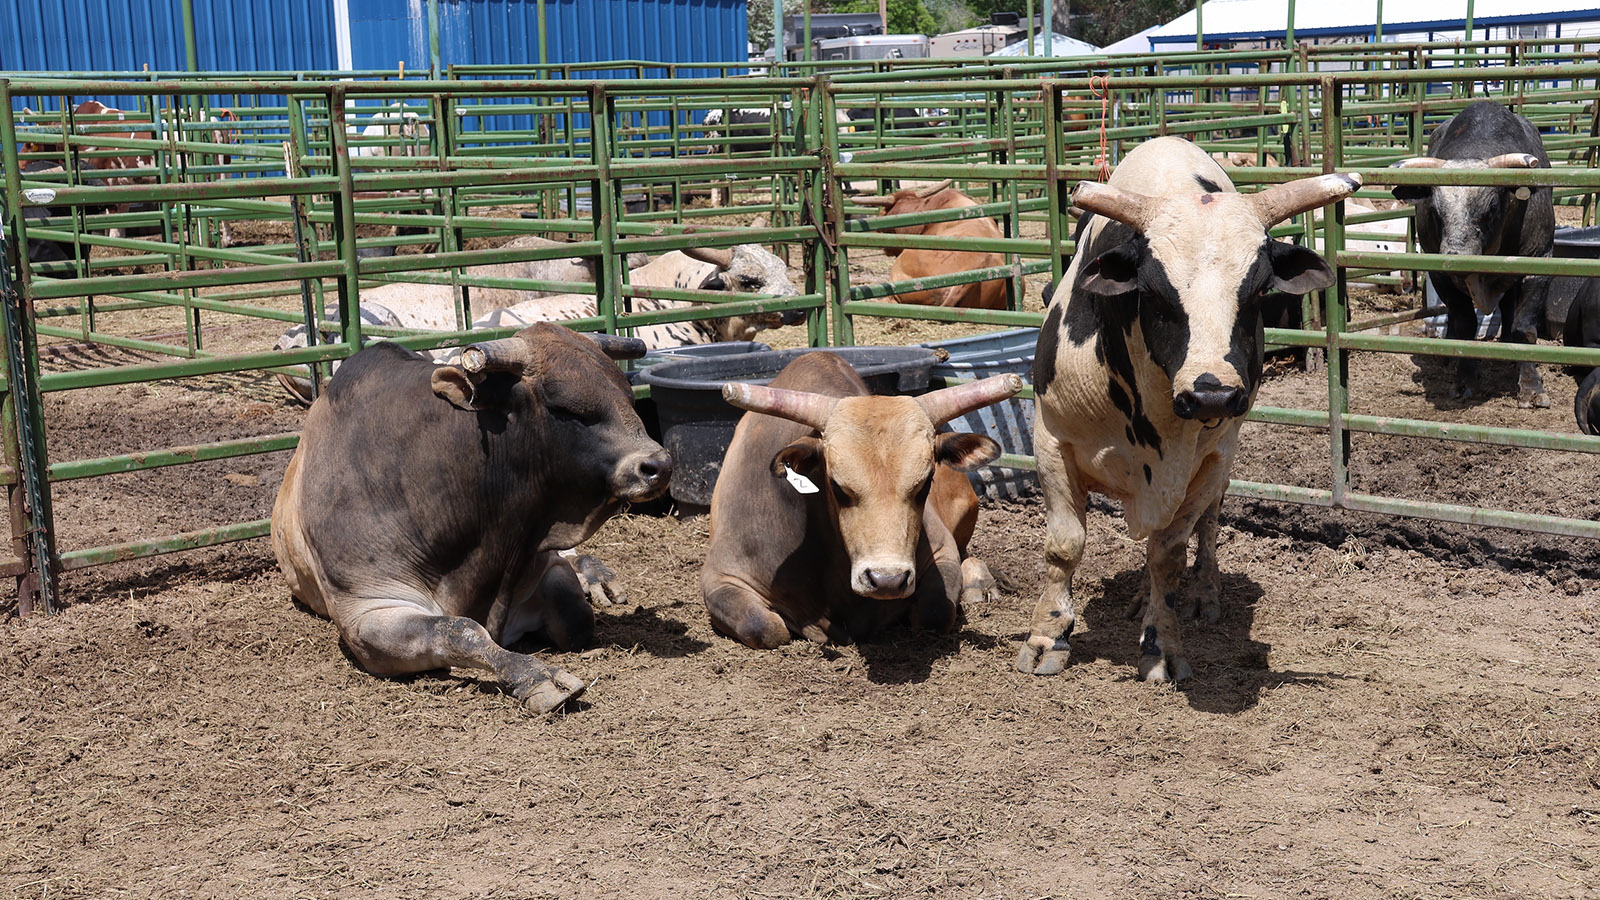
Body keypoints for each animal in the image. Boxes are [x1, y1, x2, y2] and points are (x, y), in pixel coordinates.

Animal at [271, 324, 672, 712]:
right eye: (565, 408)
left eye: (628, 395)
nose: (659, 466)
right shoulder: (367, 612)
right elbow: (461, 631)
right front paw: (538, 677)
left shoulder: (542, 562)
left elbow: (575, 616)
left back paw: (598, 577)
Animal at [700, 351, 1023, 649]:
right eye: (838, 486)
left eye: (924, 483)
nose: (887, 580)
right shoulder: (722, 577)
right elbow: (765, 627)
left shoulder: (942, 551)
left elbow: (936, 611)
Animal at [1017, 136, 1359, 682]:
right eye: (1153, 291)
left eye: (1258, 290)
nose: (1211, 395)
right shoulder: (1051, 439)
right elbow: (1065, 544)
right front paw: (1047, 635)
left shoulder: (1209, 458)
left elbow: (1169, 555)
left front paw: (1160, 644)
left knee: (1209, 523)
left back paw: (1199, 593)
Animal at [1391, 102, 1556, 408]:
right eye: (1436, 210)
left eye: (1490, 209)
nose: (1455, 256)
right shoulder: (1441, 276)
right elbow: (1465, 324)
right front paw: (1465, 381)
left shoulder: (1538, 263)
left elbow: (1524, 328)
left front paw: (1531, 387)